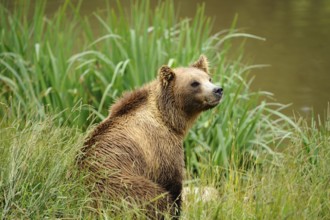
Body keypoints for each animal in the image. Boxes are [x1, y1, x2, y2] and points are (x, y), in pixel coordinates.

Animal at [78, 55, 222, 218]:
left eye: (209, 78)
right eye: (194, 83)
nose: (218, 90)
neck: (169, 118)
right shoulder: (162, 147)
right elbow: (172, 184)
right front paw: (175, 212)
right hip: (119, 183)